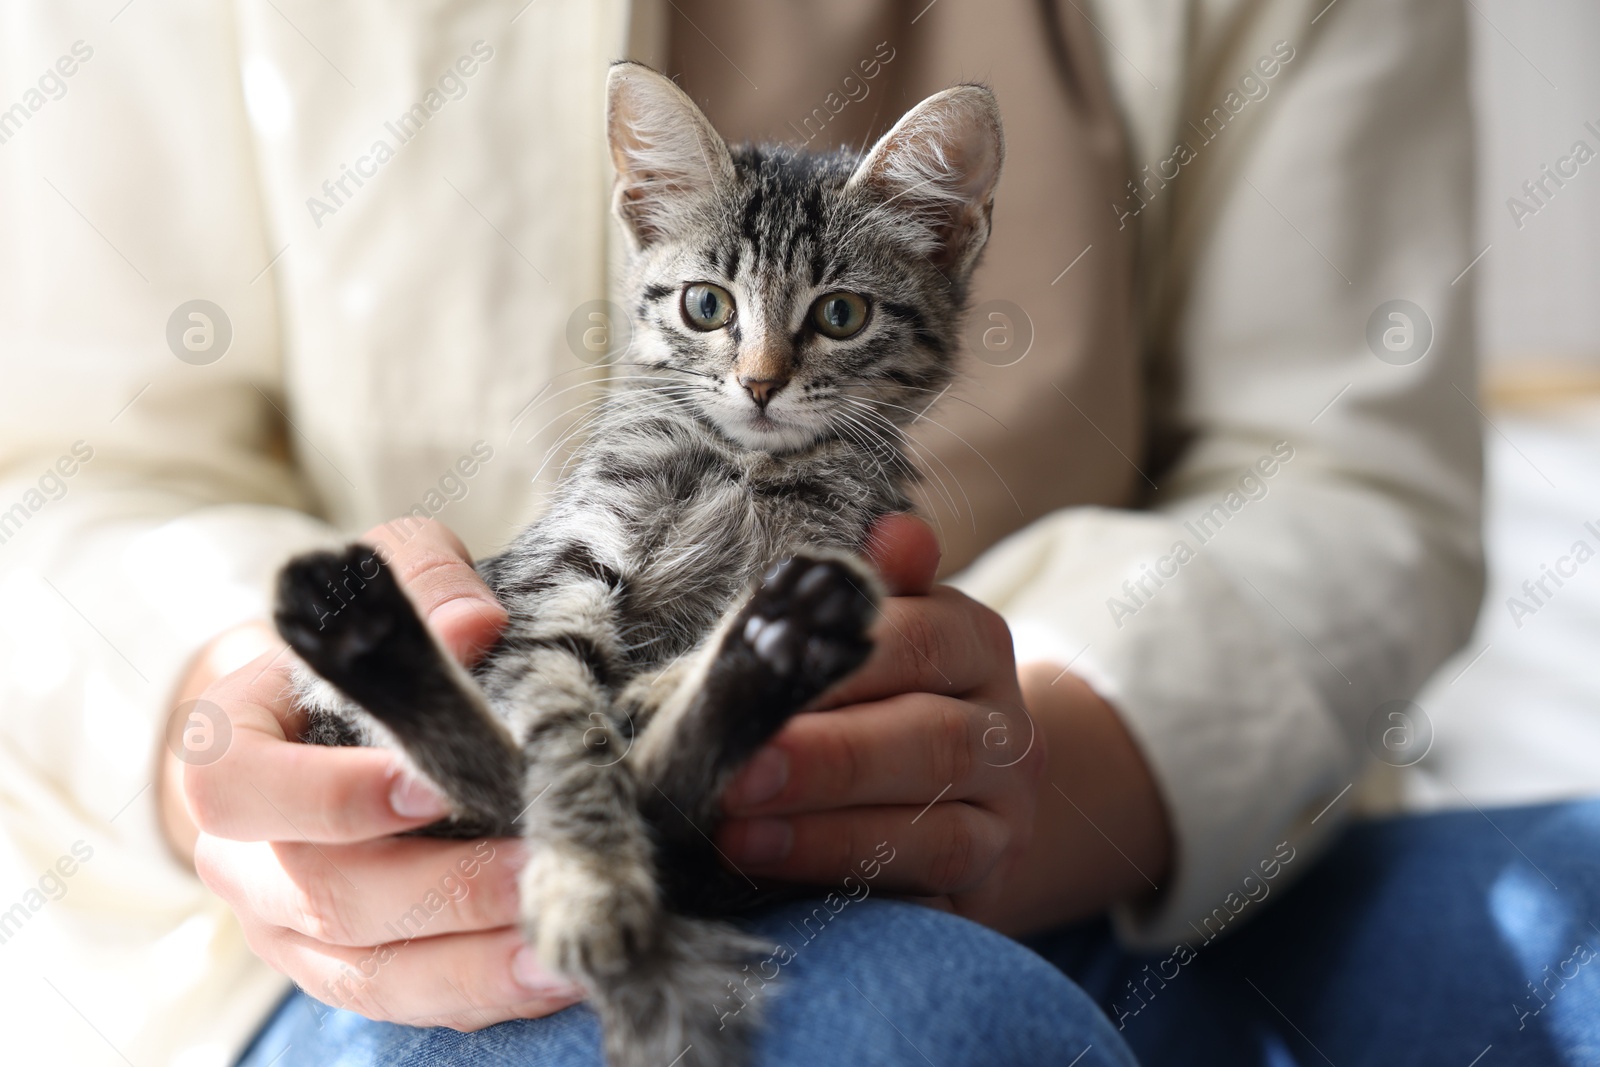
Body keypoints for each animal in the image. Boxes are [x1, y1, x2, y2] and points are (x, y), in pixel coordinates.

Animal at [275, 60, 998, 1067]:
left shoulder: (830, 539)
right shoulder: (562, 576)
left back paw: (773, 651)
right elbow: (564, 737)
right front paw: (591, 886)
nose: (762, 383)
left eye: (842, 314)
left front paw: (695, 670)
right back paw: (366, 631)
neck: (742, 463)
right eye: (707, 304)